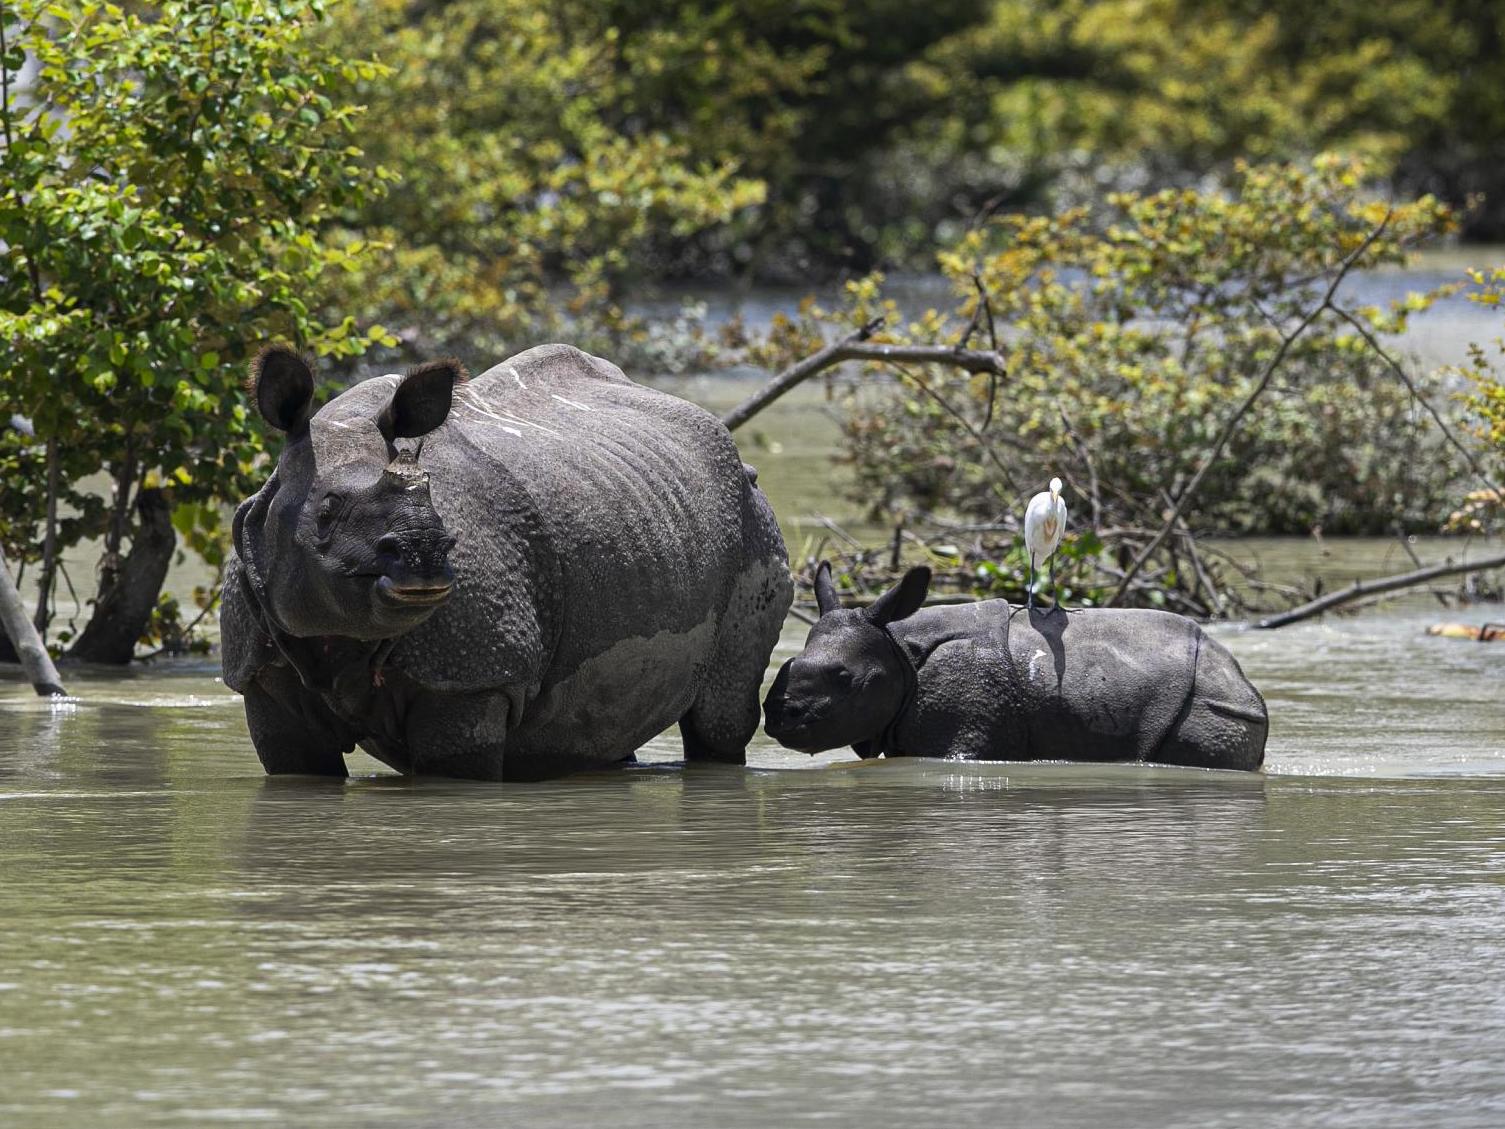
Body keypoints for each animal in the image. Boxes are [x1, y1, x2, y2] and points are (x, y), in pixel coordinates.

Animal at [222, 344, 794, 782]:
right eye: (326, 511)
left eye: (433, 499)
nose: (425, 553)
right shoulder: (260, 676)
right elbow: (296, 765)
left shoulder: (473, 678)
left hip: (750, 516)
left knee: (719, 718)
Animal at [764, 562, 1270, 776]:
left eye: (845, 680)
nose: (777, 716)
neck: (898, 646)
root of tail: (1241, 679)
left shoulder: (964, 732)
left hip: (1205, 704)